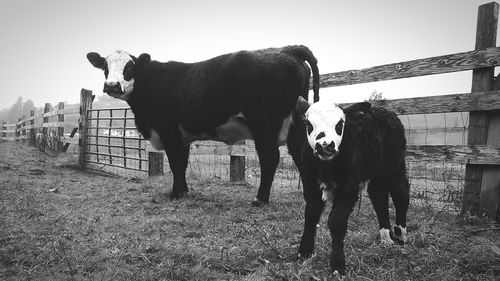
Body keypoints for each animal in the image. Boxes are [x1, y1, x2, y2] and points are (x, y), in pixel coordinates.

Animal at [87, 44, 318, 205]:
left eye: (130, 66)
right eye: (105, 67)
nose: (111, 85)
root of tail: (288, 49)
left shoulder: (168, 131)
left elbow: (175, 164)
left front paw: (175, 194)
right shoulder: (182, 137)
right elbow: (182, 163)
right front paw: (183, 191)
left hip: (264, 124)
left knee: (270, 158)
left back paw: (259, 200)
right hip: (296, 124)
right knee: (300, 155)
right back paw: (308, 197)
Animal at [290, 97, 410, 274]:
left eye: (340, 124)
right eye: (308, 124)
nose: (325, 145)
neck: (327, 167)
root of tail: (383, 110)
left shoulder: (349, 188)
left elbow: (336, 221)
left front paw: (337, 266)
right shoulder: (310, 184)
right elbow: (311, 215)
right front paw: (304, 253)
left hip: (395, 165)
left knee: (401, 194)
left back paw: (400, 234)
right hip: (376, 173)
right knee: (379, 197)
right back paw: (386, 238)